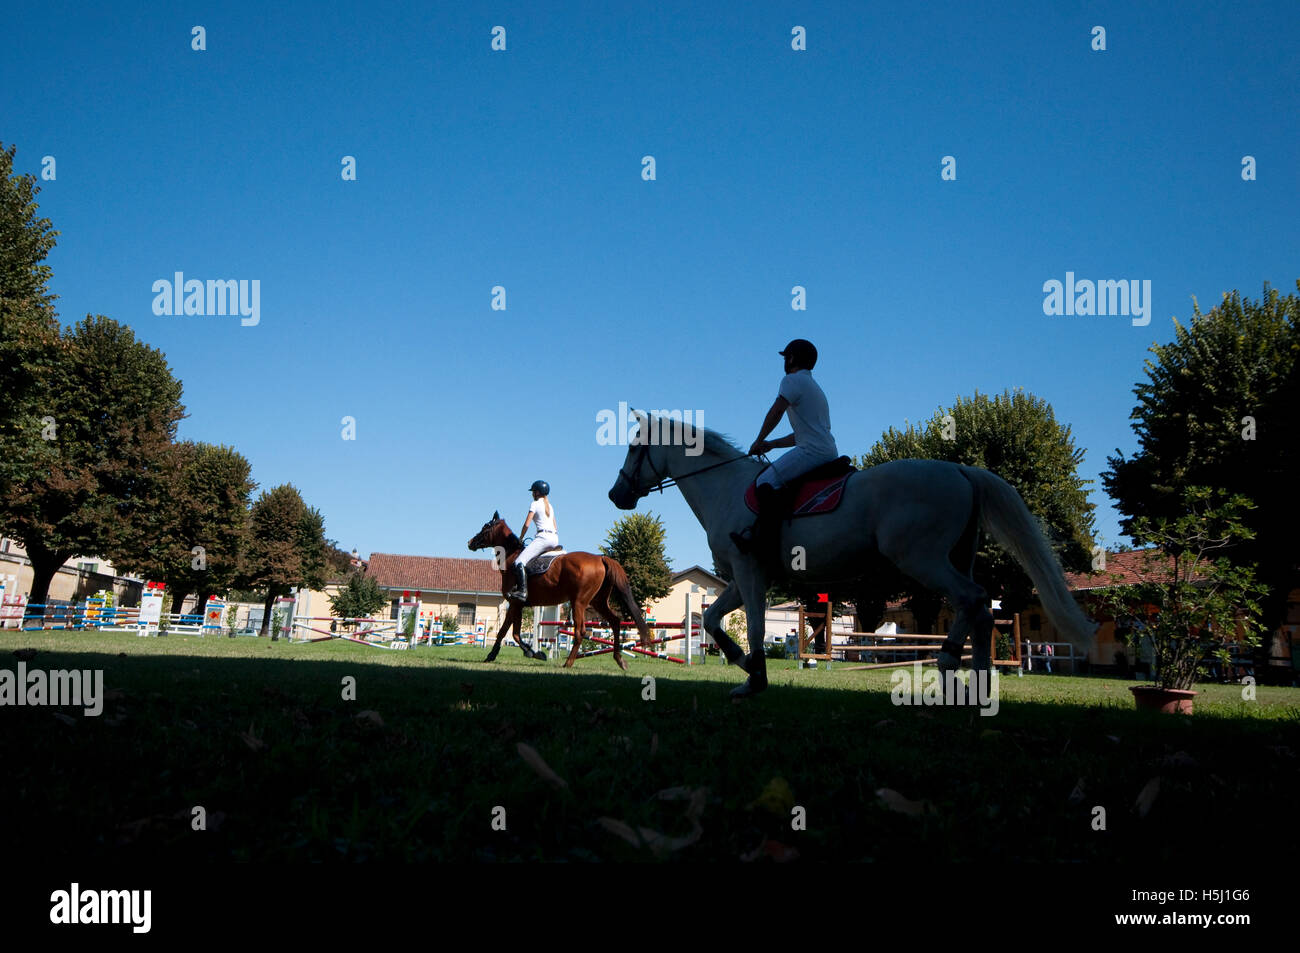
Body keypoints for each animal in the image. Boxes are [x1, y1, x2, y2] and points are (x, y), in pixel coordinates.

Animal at [465, 512, 650, 670]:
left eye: (485, 527)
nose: (470, 542)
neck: (511, 558)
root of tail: (600, 558)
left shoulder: (516, 604)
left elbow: (513, 633)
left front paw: (533, 653)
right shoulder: (515, 605)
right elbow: (506, 632)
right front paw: (493, 655)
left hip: (579, 603)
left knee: (580, 632)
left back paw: (568, 663)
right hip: (598, 602)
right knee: (615, 622)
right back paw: (619, 660)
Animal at [608, 413, 1097, 696]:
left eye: (634, 448)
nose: (617, 495)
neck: (724, 487)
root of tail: (960, 469)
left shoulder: (750, 571)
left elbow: (755, 627)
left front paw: (755, 676)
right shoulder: (750, 577)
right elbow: (711, 619)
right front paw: (746, 665)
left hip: (922, 558)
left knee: (973, 600)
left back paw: (952, 664)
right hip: (954, 557)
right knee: (975, 607)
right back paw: (971, 679)